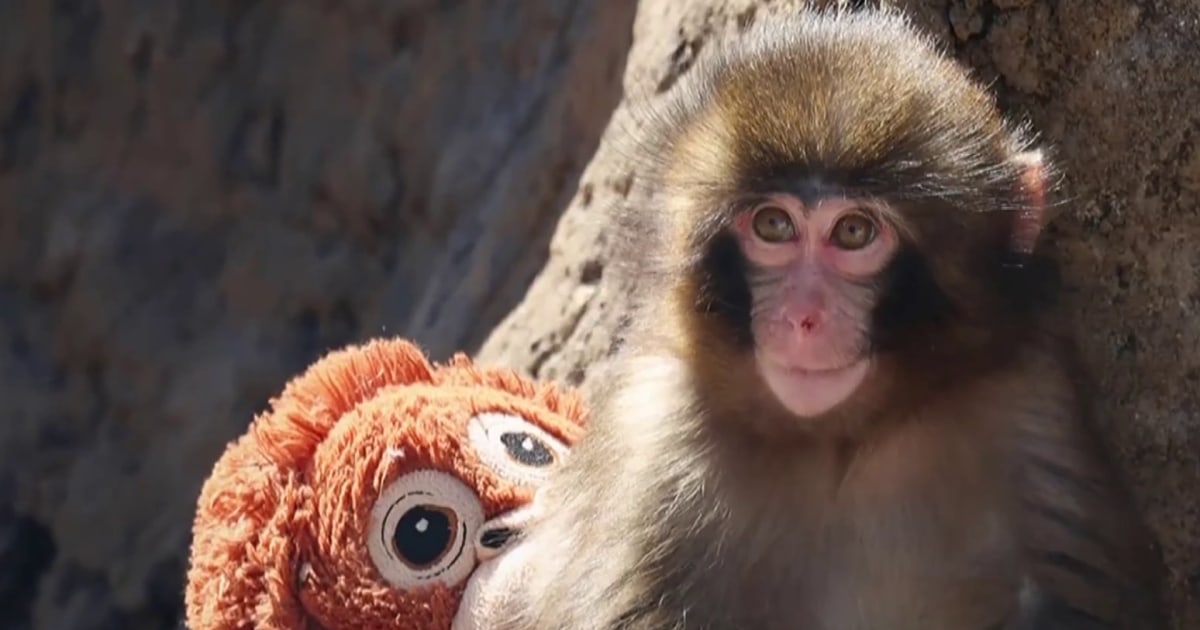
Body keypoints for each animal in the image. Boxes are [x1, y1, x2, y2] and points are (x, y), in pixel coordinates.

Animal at [495, 7, 1167, 630]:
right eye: (773, 225)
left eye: (853, 232)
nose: (803, 318)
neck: (837, 441)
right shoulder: (653, 440)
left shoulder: (1028, 407)